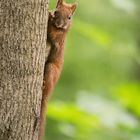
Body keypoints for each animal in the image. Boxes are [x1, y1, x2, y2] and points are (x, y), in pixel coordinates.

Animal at [38, 0, 77, 139]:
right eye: (56, 11)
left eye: (69, 17)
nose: (59, 23)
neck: (59, 28)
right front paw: (49, 14)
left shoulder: (59, 38)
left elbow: (52, 34)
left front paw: (48, 17)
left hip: (51, 69)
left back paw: (44, 84)